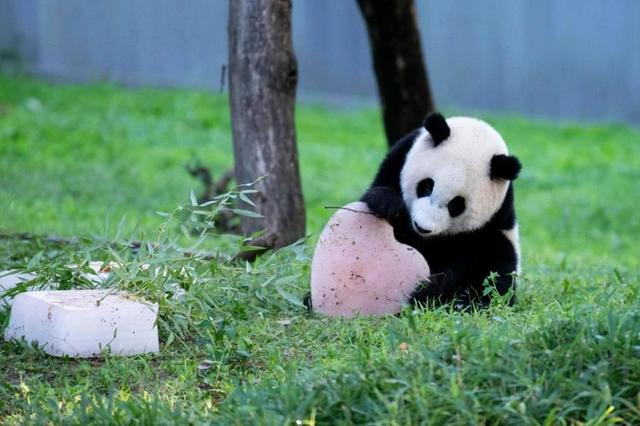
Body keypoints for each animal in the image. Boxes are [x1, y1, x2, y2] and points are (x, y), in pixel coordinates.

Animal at [308, 111, 524, 314]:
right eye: (427, 186)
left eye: (456, 204)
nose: (423, 227)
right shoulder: (396, 161)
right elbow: (377, 195)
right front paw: (387, 203)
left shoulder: (489, 225)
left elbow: (491, 273)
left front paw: (433, 288)